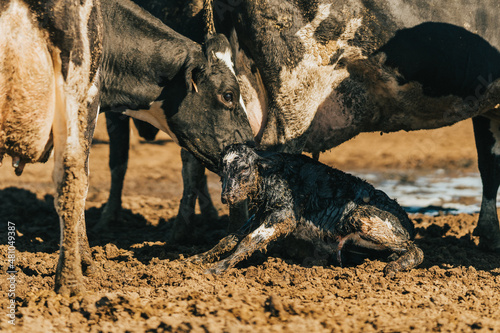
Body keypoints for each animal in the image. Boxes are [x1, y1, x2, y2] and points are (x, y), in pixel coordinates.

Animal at [189, 144, 424, 276]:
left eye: (244, 169)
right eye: (222, 172)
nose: (227, 197)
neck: (269, 177)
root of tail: (408, 222)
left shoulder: (285, 216)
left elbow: (249, 240)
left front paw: (217, 268)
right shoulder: (260, 214)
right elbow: (229, 238)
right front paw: (197, 258)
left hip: (363, 217)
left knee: (416, 250)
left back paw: (394, 267)